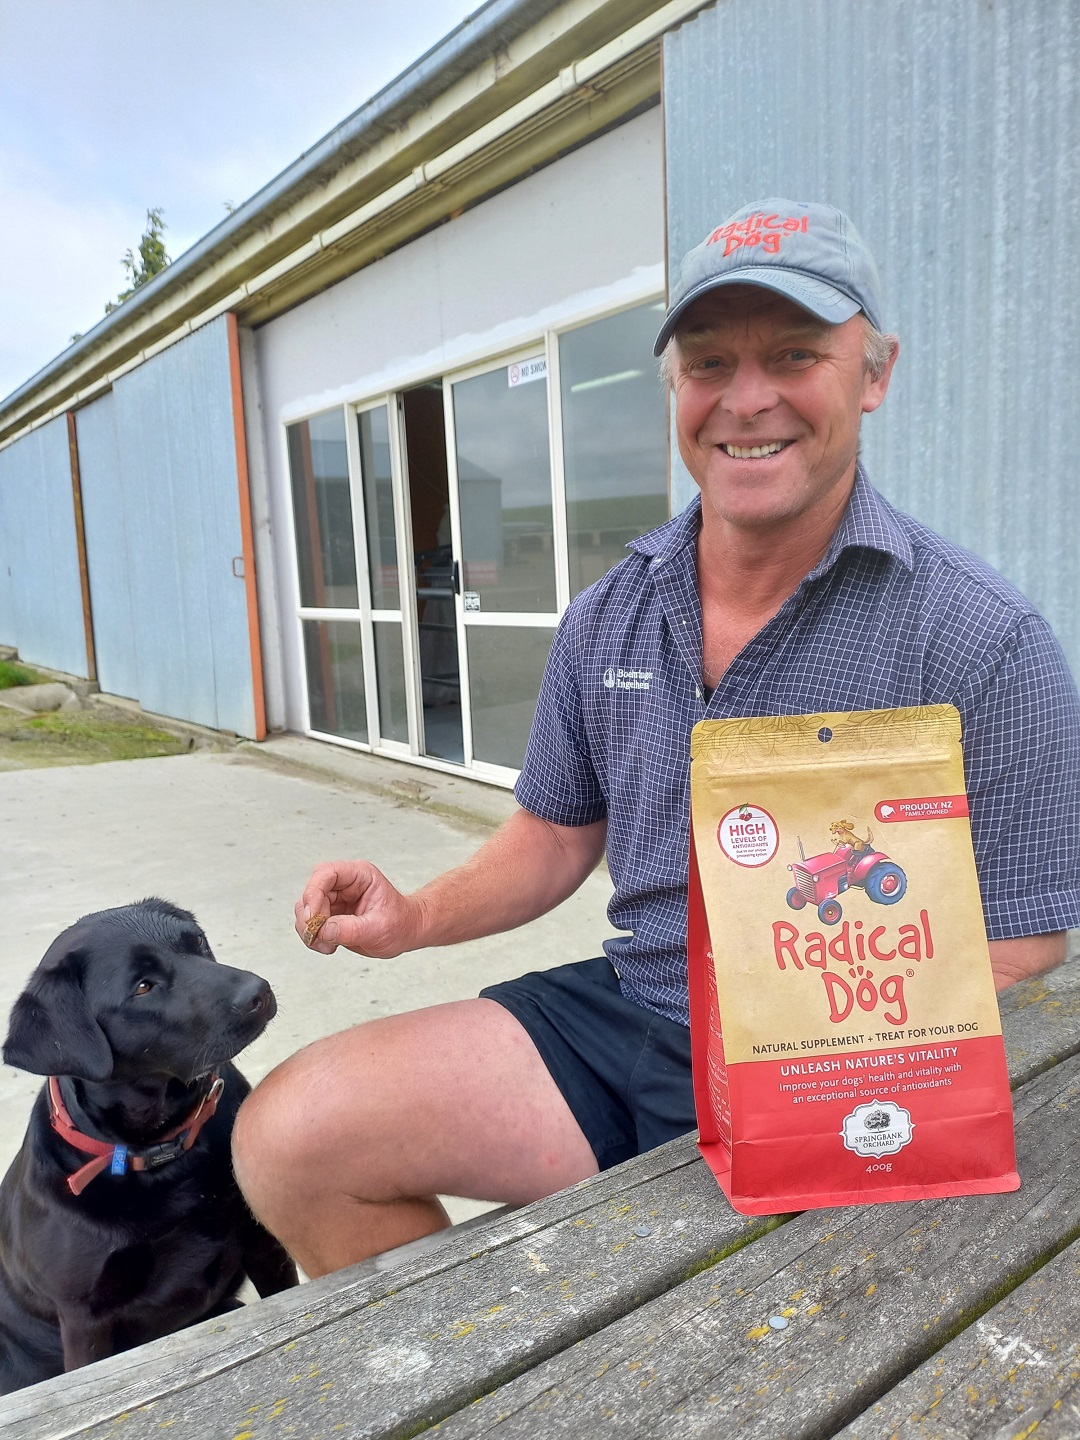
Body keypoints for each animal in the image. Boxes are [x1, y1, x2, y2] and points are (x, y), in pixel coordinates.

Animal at [0, 898, 296, 1393]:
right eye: (143, 987)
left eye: (197, 943)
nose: (259, 992)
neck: (162, 1153)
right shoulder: (84, 1319)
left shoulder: (262, 1243)